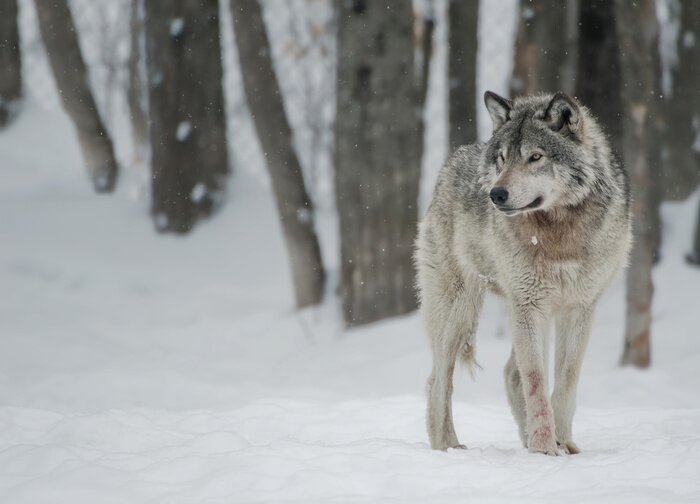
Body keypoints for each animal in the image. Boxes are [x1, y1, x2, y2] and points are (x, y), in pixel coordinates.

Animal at [415, 91, 632, 455]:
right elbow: (536, 382)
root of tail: (451, 161)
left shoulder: (579, 308)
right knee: (438, 382)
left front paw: (562, 443)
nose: (496, 194)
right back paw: (448, 448)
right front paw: (544, 449)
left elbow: (565, 381)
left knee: (508, 374)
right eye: (502, 159)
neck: (558, 233)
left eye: (535, 157)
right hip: (460, 313)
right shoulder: (530, 305)